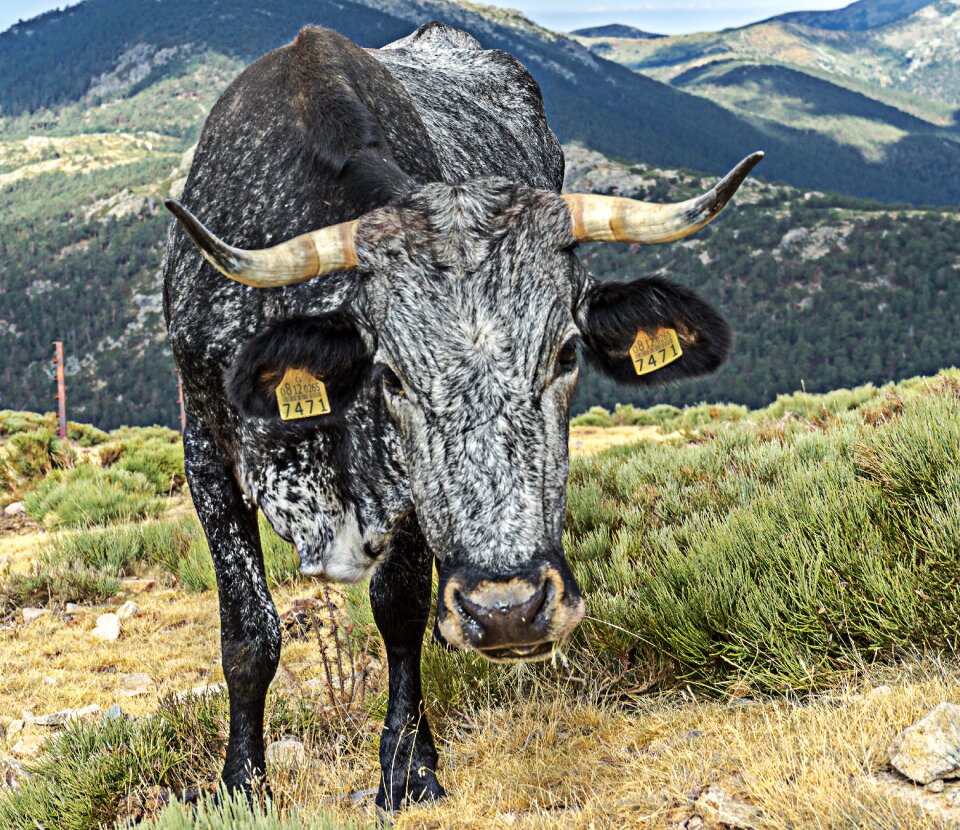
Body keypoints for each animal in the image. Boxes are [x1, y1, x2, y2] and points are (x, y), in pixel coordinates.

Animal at [165, 19, 764, 812]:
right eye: (391, 373)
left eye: (566, 353)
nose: (509, 609)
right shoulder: (204, 445)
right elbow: (247, 633)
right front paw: (241, 783)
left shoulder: (403, 498)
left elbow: (399, 612)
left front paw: (408, 768)